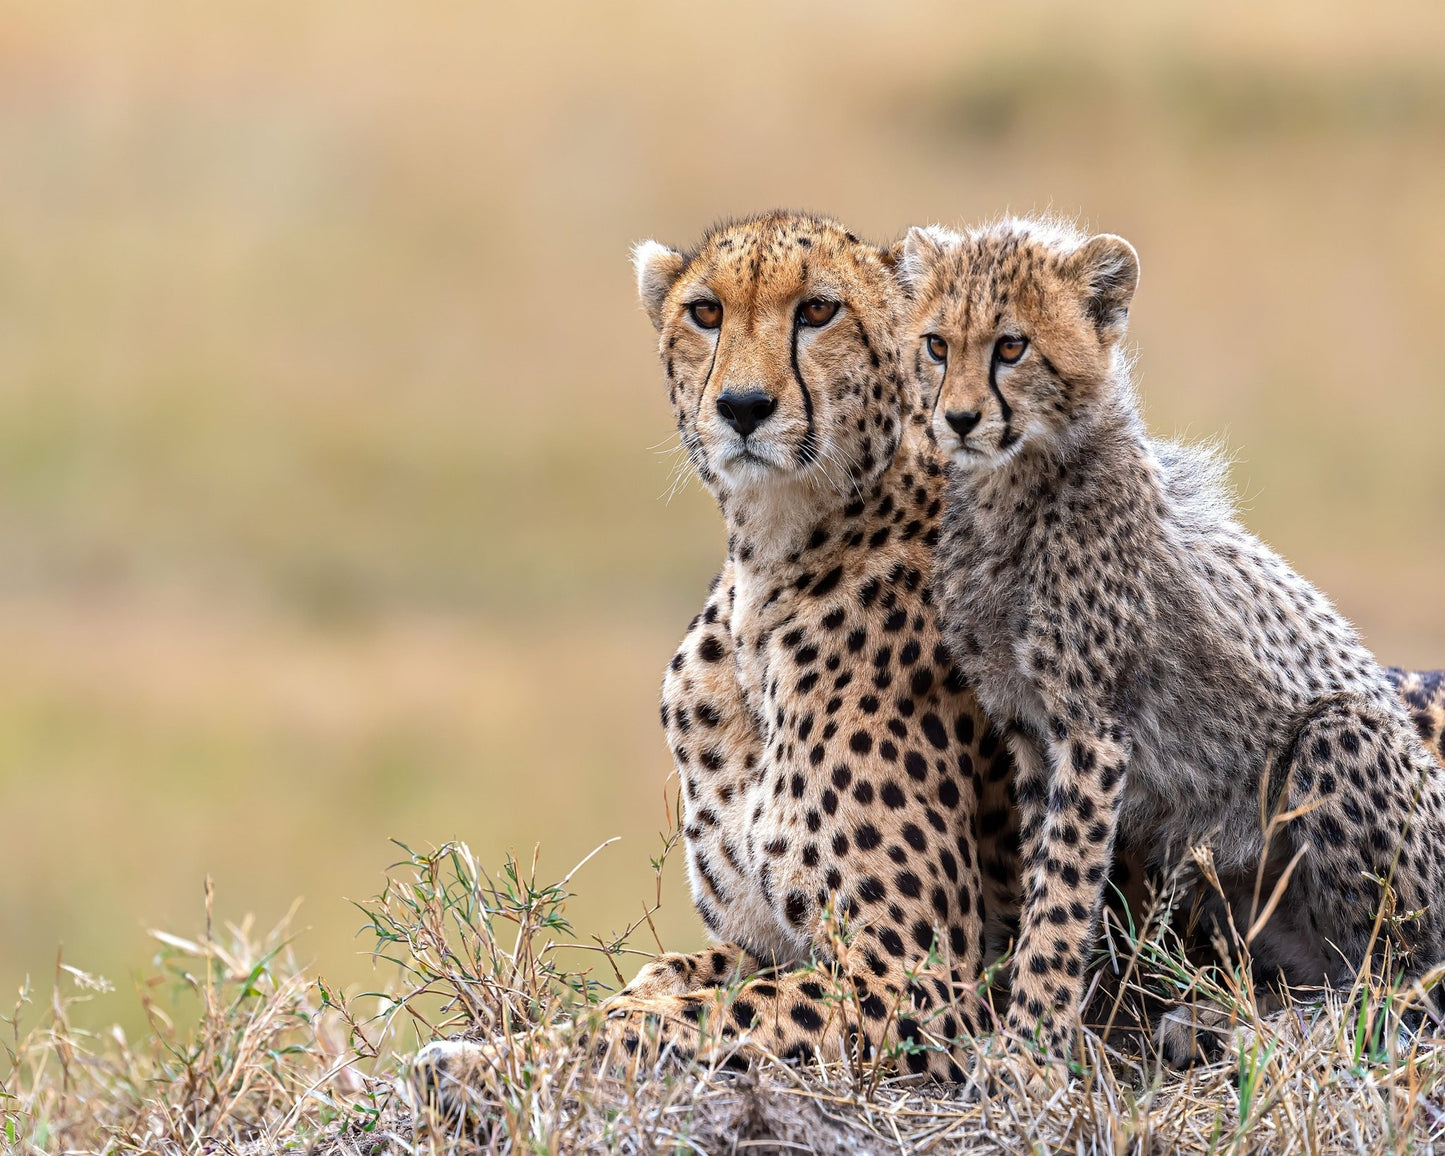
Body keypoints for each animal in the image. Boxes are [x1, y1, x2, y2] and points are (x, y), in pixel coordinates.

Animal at [902, 214, 1445, 1071]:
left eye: (1011, 347)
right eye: (934, 344)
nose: (955, 420)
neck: (1013, 489)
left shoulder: (1092, 729)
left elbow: (1062, 892)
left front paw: (1030, 1048)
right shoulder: (1027, 727)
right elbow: (1042, 874)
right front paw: (1027, 1021)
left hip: (1340, 737)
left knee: (1398, 981)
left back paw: (1274, 1033)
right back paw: (1214, 1022)